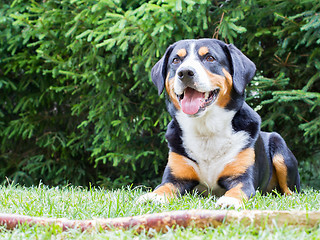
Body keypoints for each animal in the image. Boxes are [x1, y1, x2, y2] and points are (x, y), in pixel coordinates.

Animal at [139, 38, 302, 208]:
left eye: (210, 58)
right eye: (176, 60)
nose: (185, 72)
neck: (206, 130)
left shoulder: (242, 178)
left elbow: (238, 190)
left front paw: (230, 200)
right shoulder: (176, 176)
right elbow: (163, 187)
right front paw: (152, 197)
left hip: (280, 148)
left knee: (291, 189)